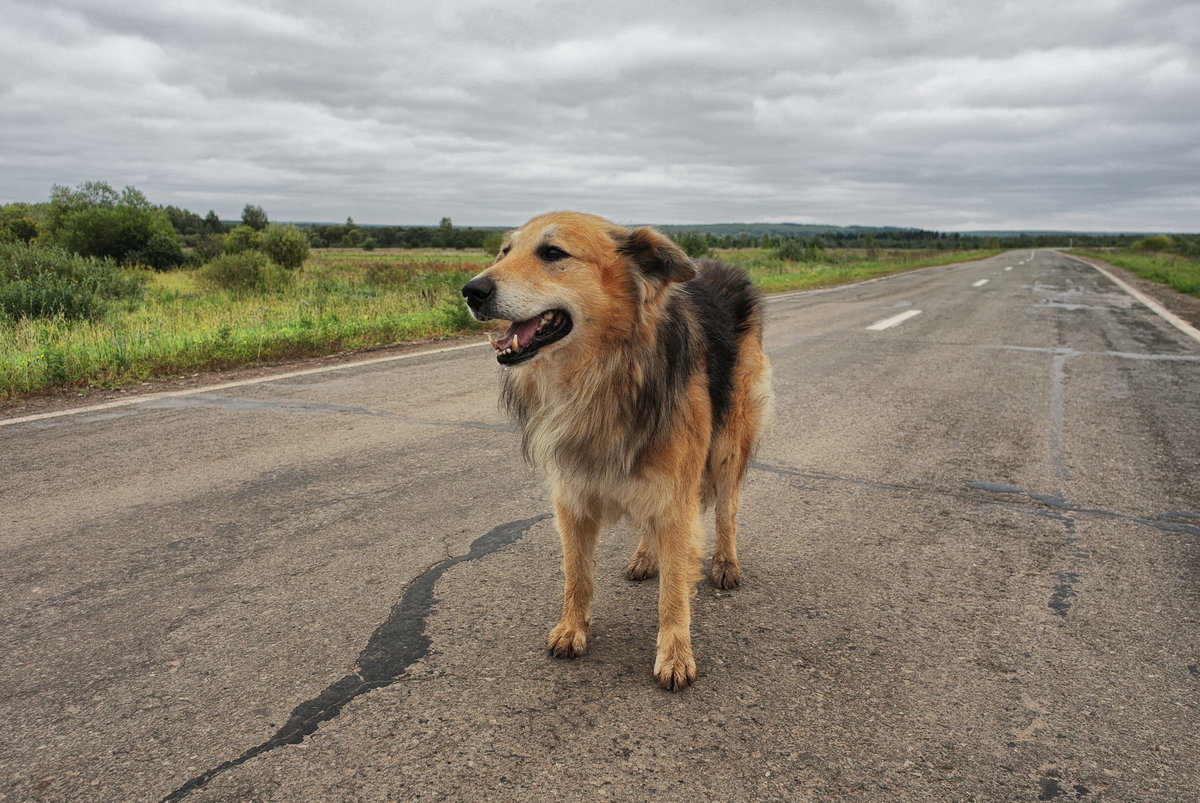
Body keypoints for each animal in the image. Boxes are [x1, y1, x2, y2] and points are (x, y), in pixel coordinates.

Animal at [458, 212, 768, 691]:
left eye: (553, 253)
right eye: (504, 252)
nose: (471, 291)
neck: (602, 374)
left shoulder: (676, 492)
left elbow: (674, 589)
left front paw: (674, 654)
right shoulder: (573, 496)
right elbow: (577, 574)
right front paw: (572, 629)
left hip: (727, 446)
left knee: (726, 510)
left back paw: (725, 563)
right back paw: (644, 556)